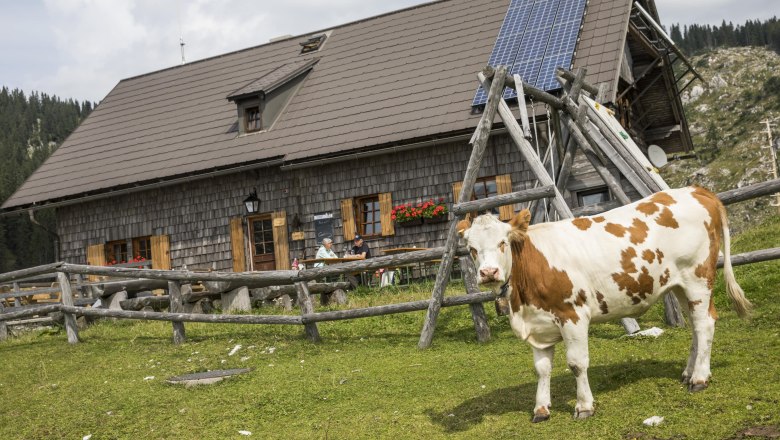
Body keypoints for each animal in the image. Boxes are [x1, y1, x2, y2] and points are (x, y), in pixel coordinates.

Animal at [458, 186, 748, 422]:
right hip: (679, 286)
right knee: (695, 327)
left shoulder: (572, 315)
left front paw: (584, 406)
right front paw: (541, 409)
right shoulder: (538, 324)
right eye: (472, 249)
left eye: (502, 242)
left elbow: (577, 363)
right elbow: (541, 369)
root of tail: (696, 190)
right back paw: (689, 372)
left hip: (698, 277)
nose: (488, 272)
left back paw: (699, 378)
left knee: (704, 323)